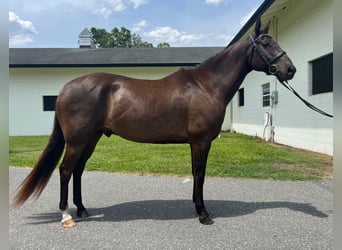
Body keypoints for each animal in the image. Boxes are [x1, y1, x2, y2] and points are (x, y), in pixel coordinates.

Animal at [13, 18, 296, 227]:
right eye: (266, 43)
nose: (290, 70)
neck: (206, 85)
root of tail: (64, 89)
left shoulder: (196, 143)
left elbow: (196, 174)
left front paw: (197, 208)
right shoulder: (201, 142)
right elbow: (200, 174)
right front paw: (203, 214)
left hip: (91, 139)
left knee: (78, 171)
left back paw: (82, 209)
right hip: (77, 141)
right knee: (65, 170)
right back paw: (66, 215)